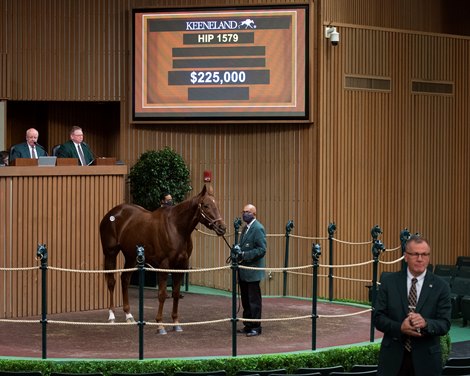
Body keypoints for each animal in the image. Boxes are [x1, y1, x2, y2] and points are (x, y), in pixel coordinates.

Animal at [101, 185, 228, 332]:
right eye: (206, 205)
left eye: (216, 204)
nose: (222, 228)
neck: (176, 228)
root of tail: (113, 213)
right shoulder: (164, 265)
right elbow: (162, 294)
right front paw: (160, 324)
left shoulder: (181, 266)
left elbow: (176, 293)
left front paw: (176, 323)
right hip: (110, 253)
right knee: (111, 281)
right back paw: (111, 316)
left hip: (131, 256)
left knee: (125, 280)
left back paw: (129, 315)